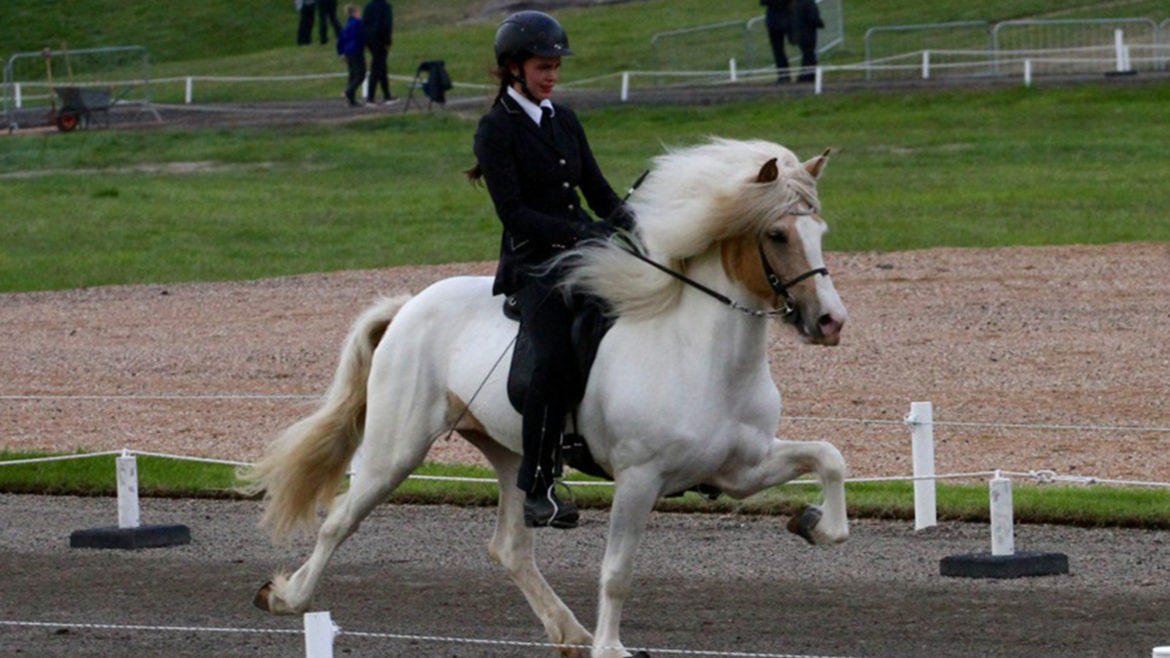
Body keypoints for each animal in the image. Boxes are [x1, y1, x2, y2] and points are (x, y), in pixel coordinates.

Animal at [246, 135, 851, 650]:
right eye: (777, 235)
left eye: (821, 232)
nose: (830, 322)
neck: (705, 356)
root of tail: (410, 304)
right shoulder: (640, 478)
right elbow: (617, 571)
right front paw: (611, 648)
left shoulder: (739, 470)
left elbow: (830, 457)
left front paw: (815, 524)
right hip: (396, 450)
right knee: (341, 518)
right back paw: (286, 597)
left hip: (513, 453)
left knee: (511, 548)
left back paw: (570, 632)